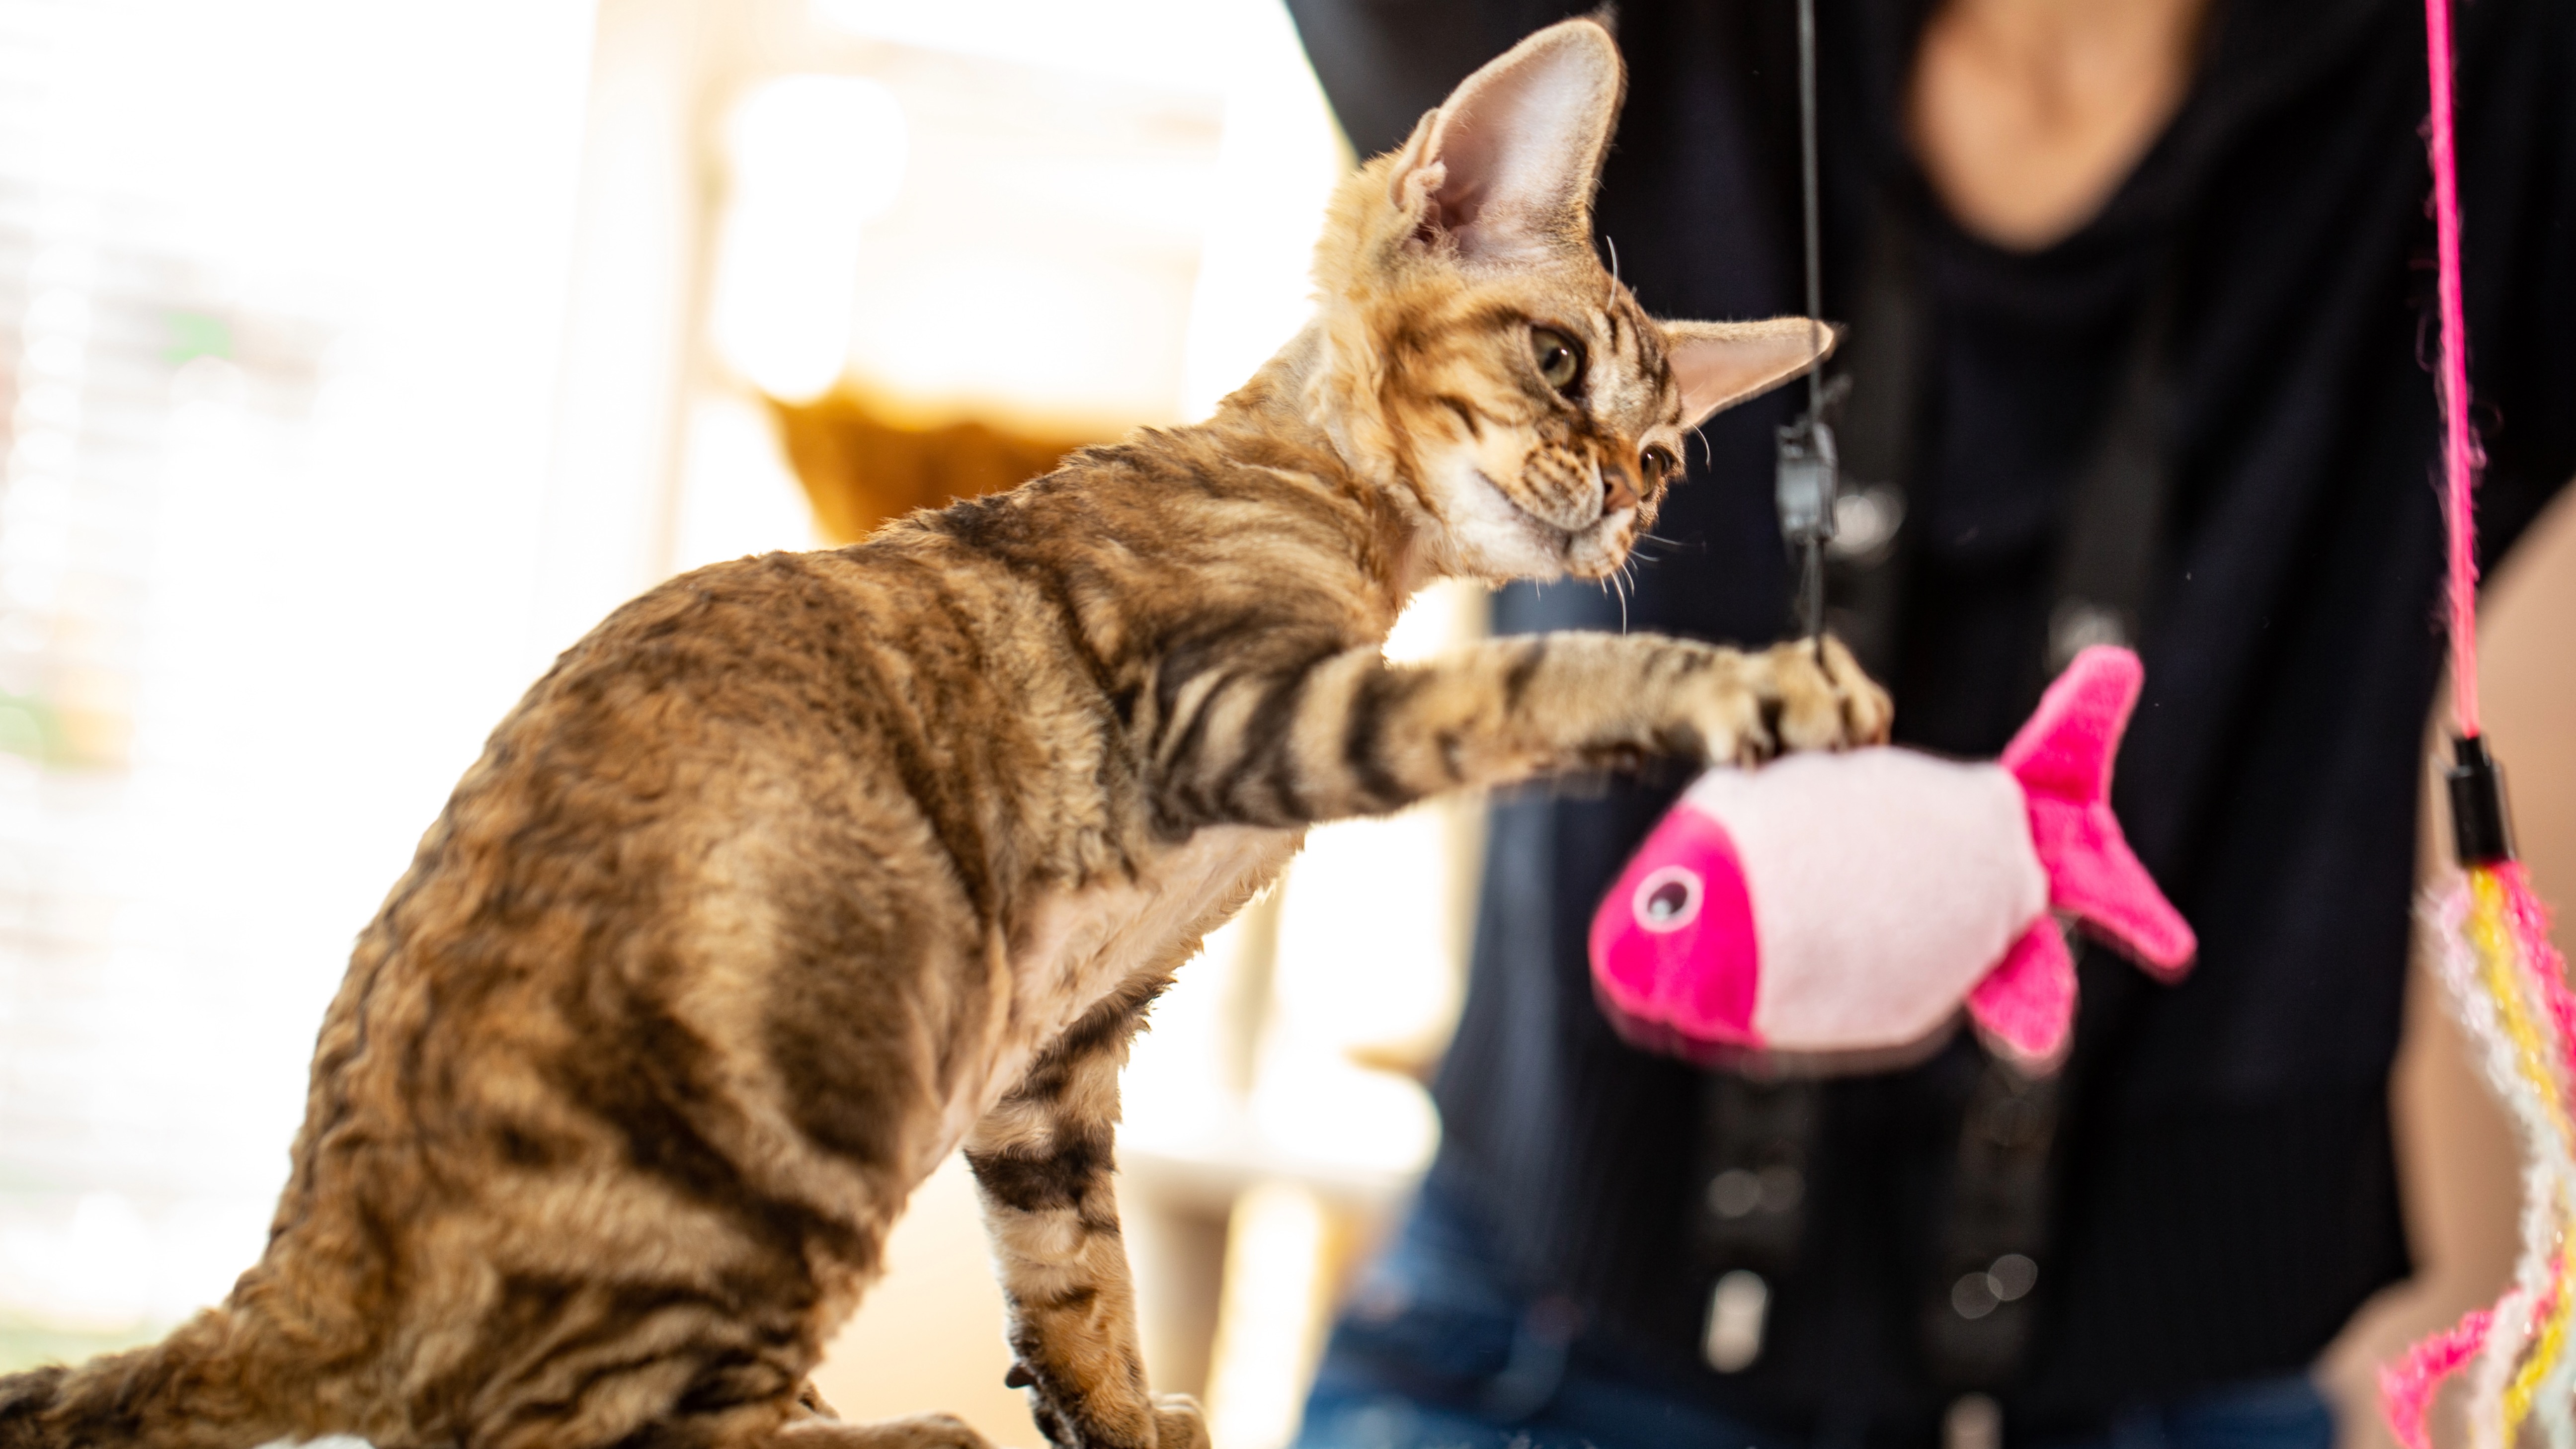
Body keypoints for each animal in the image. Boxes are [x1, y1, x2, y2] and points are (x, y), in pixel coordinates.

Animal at [0, 19, 1896, 1444]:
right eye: (1560, 360)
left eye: (1669, 451)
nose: (1618, 505)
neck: (1339, 520)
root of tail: (304, 1274)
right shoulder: (1222, 703)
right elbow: (1532, 685)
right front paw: (1752, 679)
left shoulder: (1055, 1051)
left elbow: (1081, 1274)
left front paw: (1118, 1414)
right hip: (808, 1099)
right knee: (584, 1426)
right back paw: (894, 1432)